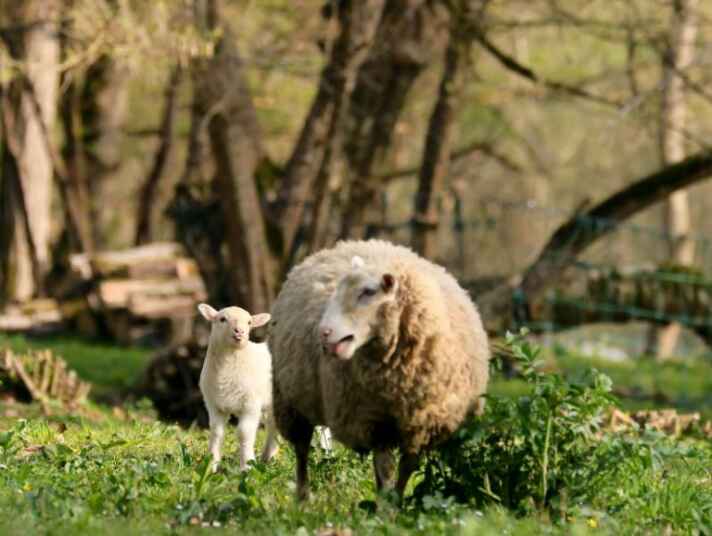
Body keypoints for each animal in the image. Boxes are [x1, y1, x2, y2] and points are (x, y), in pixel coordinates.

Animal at [197, 303, 279, 472]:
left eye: (249, 322)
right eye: (222, 319)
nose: (239, 331)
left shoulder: (251, 405)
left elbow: (244, 434)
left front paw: (247, 466)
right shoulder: (214, 405)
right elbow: (216, 432)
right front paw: (211, 465)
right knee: (273, 425)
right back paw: (268, 457)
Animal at [268, 239, 490, 502]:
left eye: (368, 292)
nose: (323, 333)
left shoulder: (420, 425)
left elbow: (406, 469)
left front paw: (397, 502)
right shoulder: (374, 421)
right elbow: (385, 469)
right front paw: (385, 507)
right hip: (289, 401)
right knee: (302, 452)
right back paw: (303, 498)